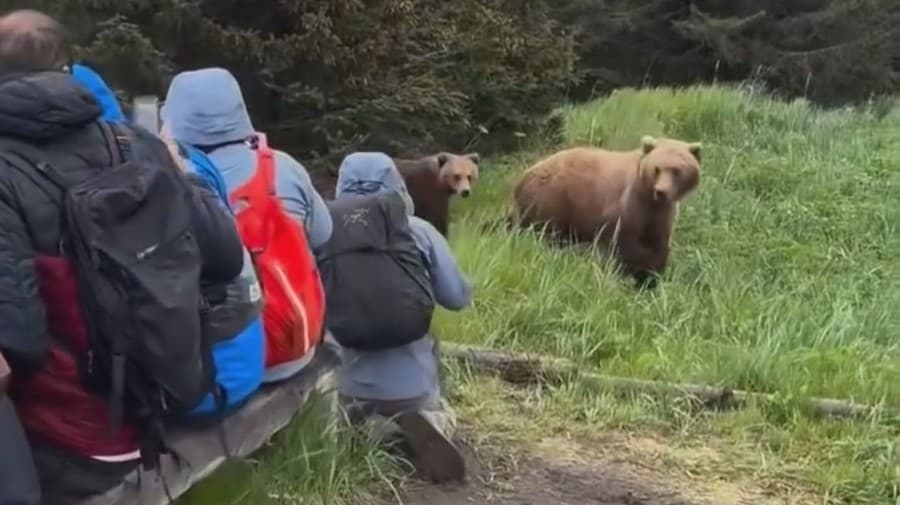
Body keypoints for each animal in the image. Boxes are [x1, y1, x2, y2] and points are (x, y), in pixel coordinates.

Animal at [510, 136, 700, 288]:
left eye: (677, 170)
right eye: (657, 168)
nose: (661, 191)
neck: (649, 199)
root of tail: (521, 178)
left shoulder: (661, 215)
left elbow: (658, 245)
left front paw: (651, 278)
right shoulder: (626, 208)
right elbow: (628, 248)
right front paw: (633, 275)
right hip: (551, 200)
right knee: (544, 234)